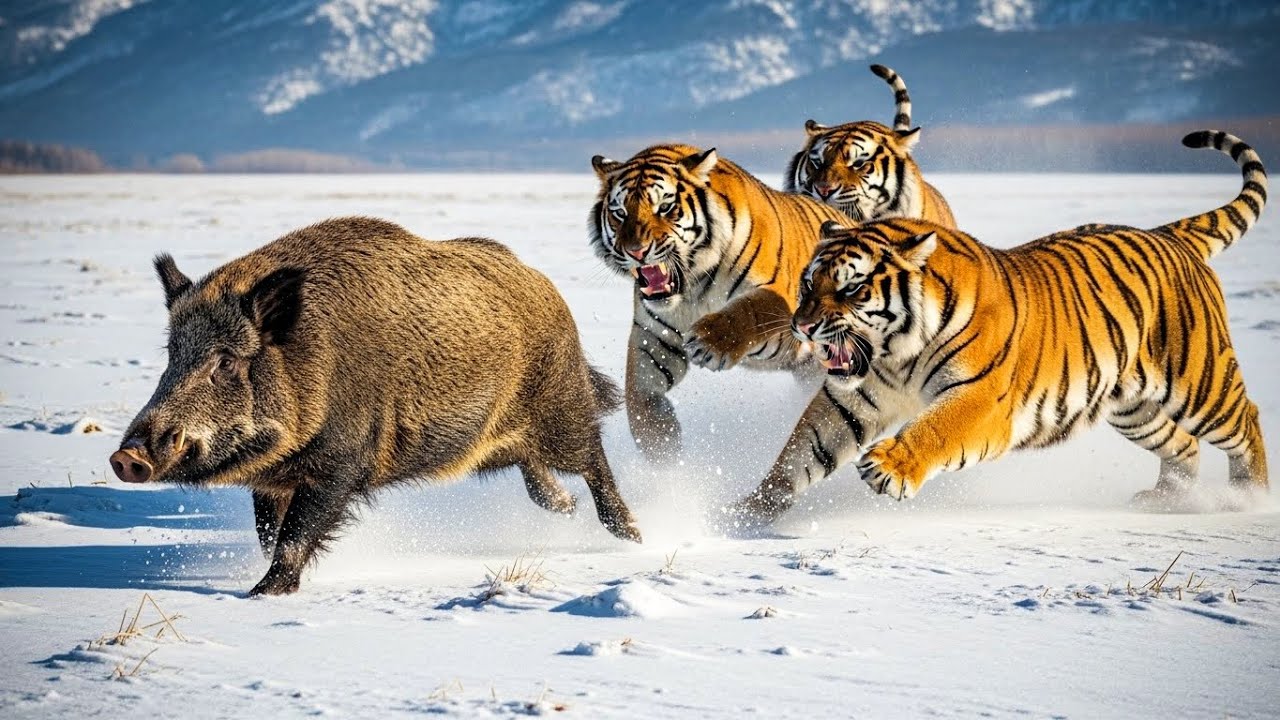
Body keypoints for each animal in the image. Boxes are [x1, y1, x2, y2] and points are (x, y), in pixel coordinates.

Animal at [109, 216, 641, 595]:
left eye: (225, 361)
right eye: (172, 354)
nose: (125, 456)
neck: (312, 361)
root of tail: (545, 285)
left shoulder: (341, 463)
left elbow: (295, 535)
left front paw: (260, 594)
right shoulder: (272, 478)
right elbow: (266, 532)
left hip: (560, 408)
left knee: (593, 457)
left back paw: (632, 535)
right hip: (496, 444)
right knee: (536, 474)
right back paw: (566, 508)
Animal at [589, 144, 850, 460]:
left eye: (665, 207)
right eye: (620, 212)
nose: (636, 251)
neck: (692, 288)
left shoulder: (780, 296)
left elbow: (748, 311)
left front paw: (709, 343)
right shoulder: (654, 337)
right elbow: (641, 401)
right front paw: (665, 460)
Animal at [729, 130, 1268, 524]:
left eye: (852, 288)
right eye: (807, 284)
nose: (801, 326)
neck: (898, 352)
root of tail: (1167, 234)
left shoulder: (983, 397)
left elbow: (935, 428)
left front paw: (888, 466)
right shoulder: (855, 399)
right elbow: (803, 451)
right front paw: (750, 511)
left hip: (1199, 381)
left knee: (1247, 419)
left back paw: (1249, 500)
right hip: (1132, 406)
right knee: (1182, 444)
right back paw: (1169, 501)